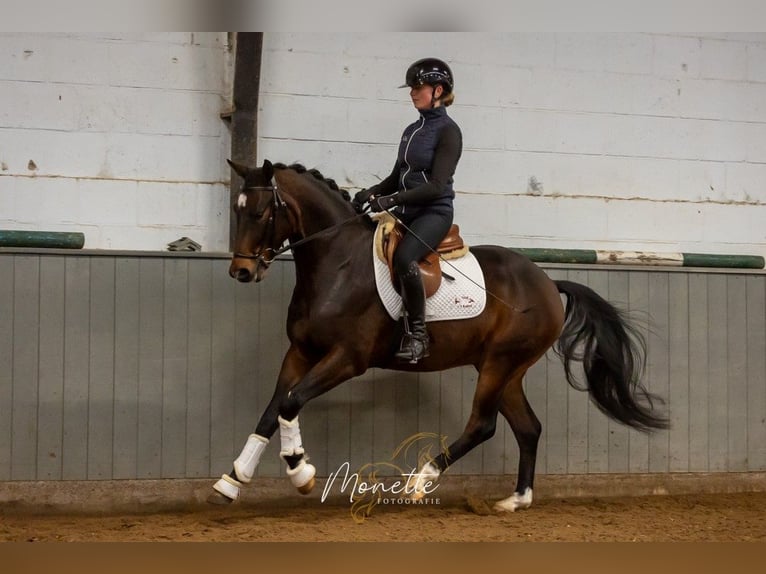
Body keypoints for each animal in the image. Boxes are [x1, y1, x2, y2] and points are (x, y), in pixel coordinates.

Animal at [212, 159, 672, 512]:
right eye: (237, 210)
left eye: (260, 213)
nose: (241, 271)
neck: (336, 265)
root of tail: (547, 282)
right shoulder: (301, 352)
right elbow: (274, 409)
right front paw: (233, 480)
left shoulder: (346, 358)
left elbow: (291, 403)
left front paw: (300, 470)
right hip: (506, 369)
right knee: (528, 428)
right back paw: (515, 500)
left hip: (500, 363)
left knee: (483, 425)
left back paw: (418, 482)